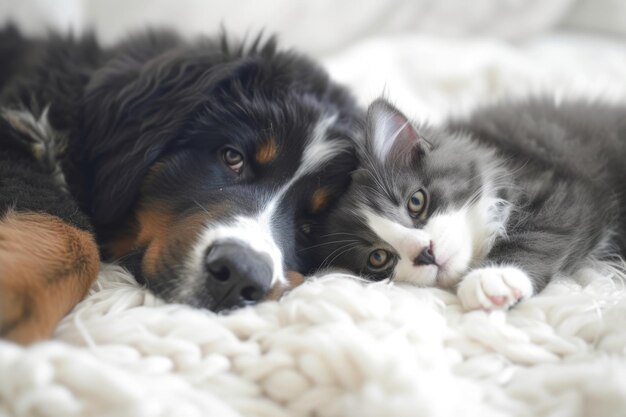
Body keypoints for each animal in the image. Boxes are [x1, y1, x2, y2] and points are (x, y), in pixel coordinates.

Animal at [308, 96, 624, 308]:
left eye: (416, 202)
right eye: (378, 258)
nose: (425, 253)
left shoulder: (560, 188)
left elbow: (537, 232)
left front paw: (495, 275)